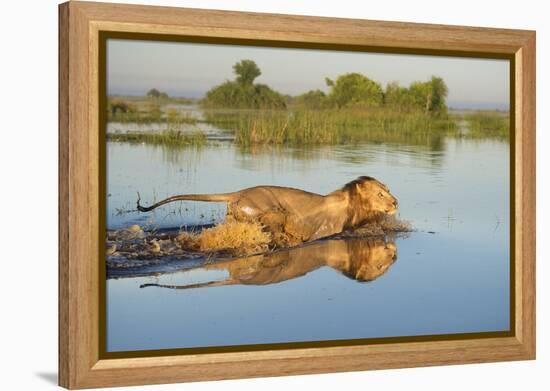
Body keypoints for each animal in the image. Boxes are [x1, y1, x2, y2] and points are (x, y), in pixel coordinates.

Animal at [136, 177, 398, 247]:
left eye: (388, 190)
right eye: (381, 194)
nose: (396, 202)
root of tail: (236, 192)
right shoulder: (324, 232)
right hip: (271, 210)